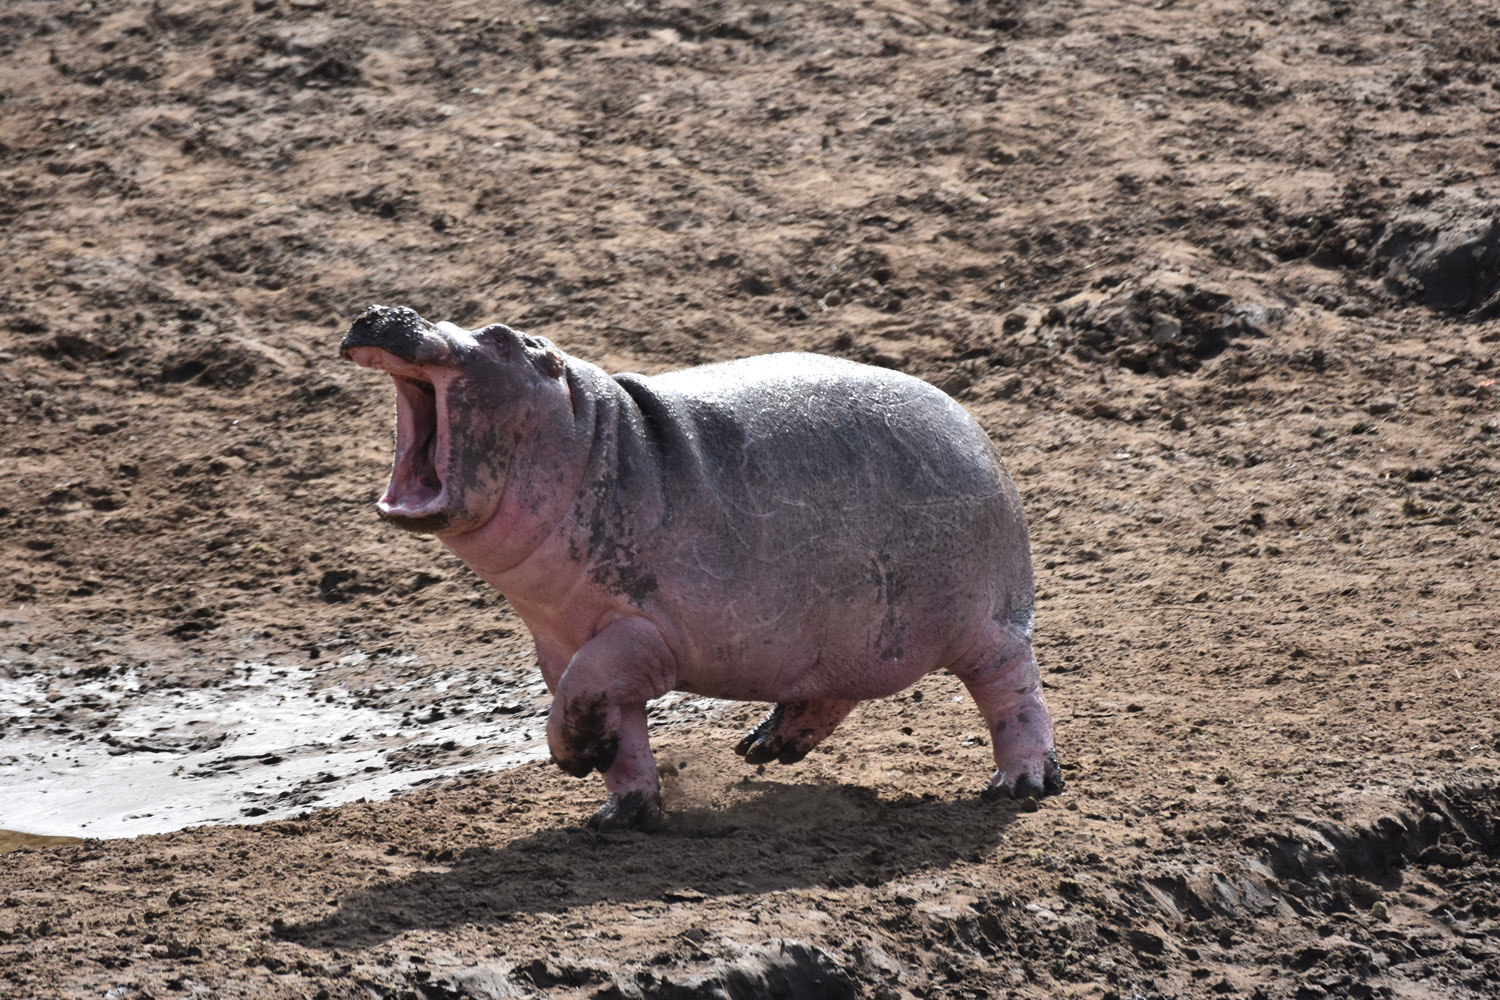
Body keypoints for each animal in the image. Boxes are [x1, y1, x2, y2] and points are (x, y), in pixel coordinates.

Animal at [343, 307, 1068, 839]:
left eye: (498, 337)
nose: (384, 311)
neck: (589, 437)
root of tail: (974, 426)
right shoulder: (564, 642)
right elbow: (614, 726)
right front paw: (620, 813)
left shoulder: (638, 634)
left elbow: (579, 695)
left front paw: (574, 756)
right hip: (852, 628)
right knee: (833, 687)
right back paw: (767, 746)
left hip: (991, 626)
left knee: (1015, 695)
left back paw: (1023, 785)